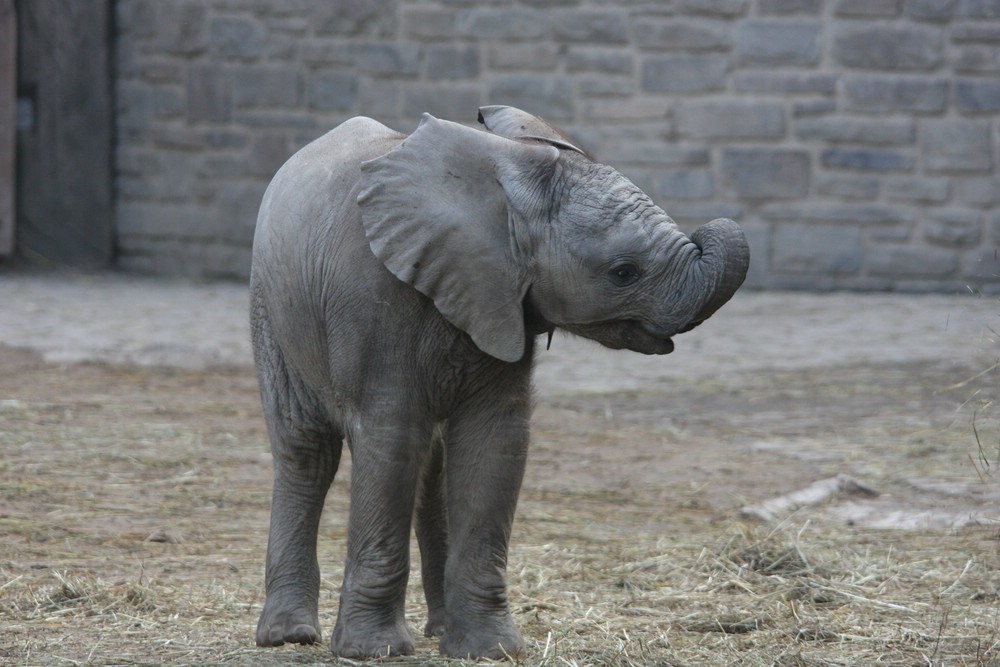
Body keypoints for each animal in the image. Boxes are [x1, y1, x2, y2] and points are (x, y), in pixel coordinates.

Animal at [250, 107, 752, 660]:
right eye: (624, 272)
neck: (503, 181)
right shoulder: (374, 299)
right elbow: (391, 438)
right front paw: (373, 651)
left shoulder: (503, 303)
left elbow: (494, 443)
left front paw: (490, 651)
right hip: (270, 308)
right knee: (308, 450)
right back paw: (289, 635)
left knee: (431, 464)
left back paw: (438, 630)